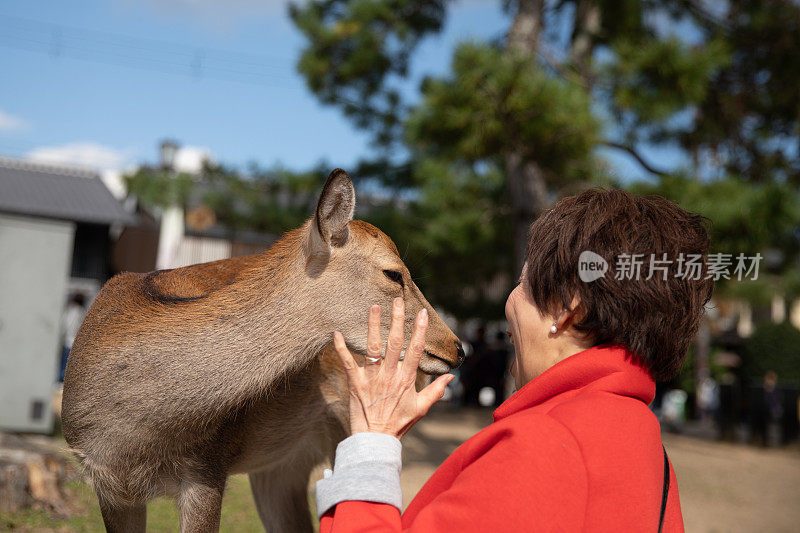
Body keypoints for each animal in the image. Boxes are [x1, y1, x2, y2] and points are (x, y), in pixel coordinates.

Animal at [61, 169, 462, 532]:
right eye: (393, 273)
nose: (456, 347)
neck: (131, 437)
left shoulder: (208, 466)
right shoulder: (109, 484)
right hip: (281, 467)